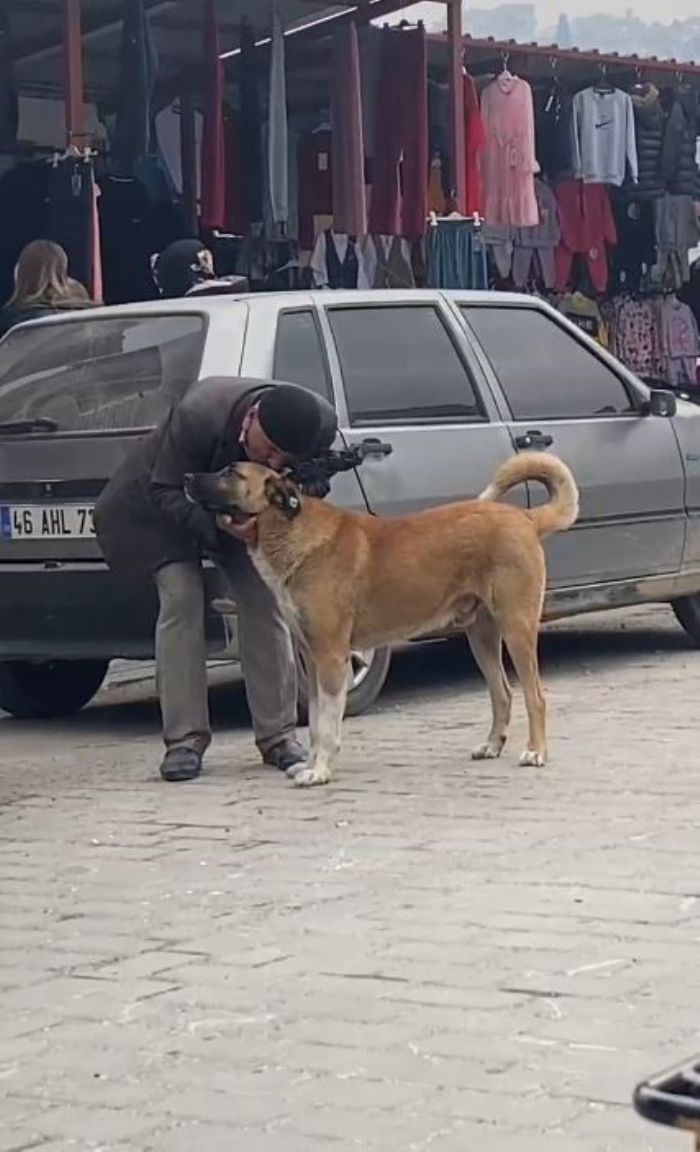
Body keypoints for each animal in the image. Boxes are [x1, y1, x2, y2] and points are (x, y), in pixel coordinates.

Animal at [183, 453, 577, 787]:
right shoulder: (312, 659)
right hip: (481, 636)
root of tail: (525, 517)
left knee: (535, 696)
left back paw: (536, 752)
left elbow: (326, 725)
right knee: (503, 693)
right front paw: (310, 764)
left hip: (516, 628)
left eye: (231, 472)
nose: (186, 477)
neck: (292, 529)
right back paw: (492, 745)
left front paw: (320, 770)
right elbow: (314, 724)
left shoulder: (331, 657)